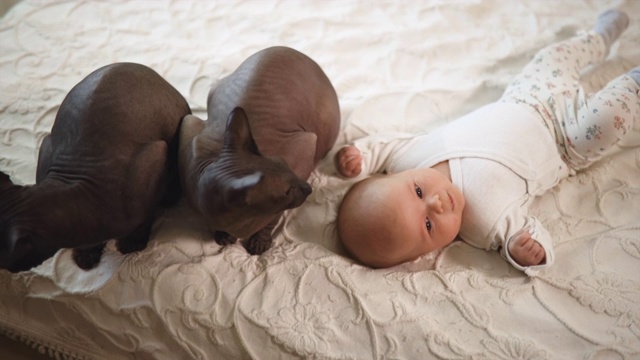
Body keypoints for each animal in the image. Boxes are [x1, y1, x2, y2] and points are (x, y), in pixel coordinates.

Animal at [178, 46, 342, 255]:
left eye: (285, 164)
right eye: (287, 191)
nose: (308, 188)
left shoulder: (304, 147)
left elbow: (273, 217)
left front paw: (259, 240)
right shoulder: (189, 130)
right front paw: (223, 234)